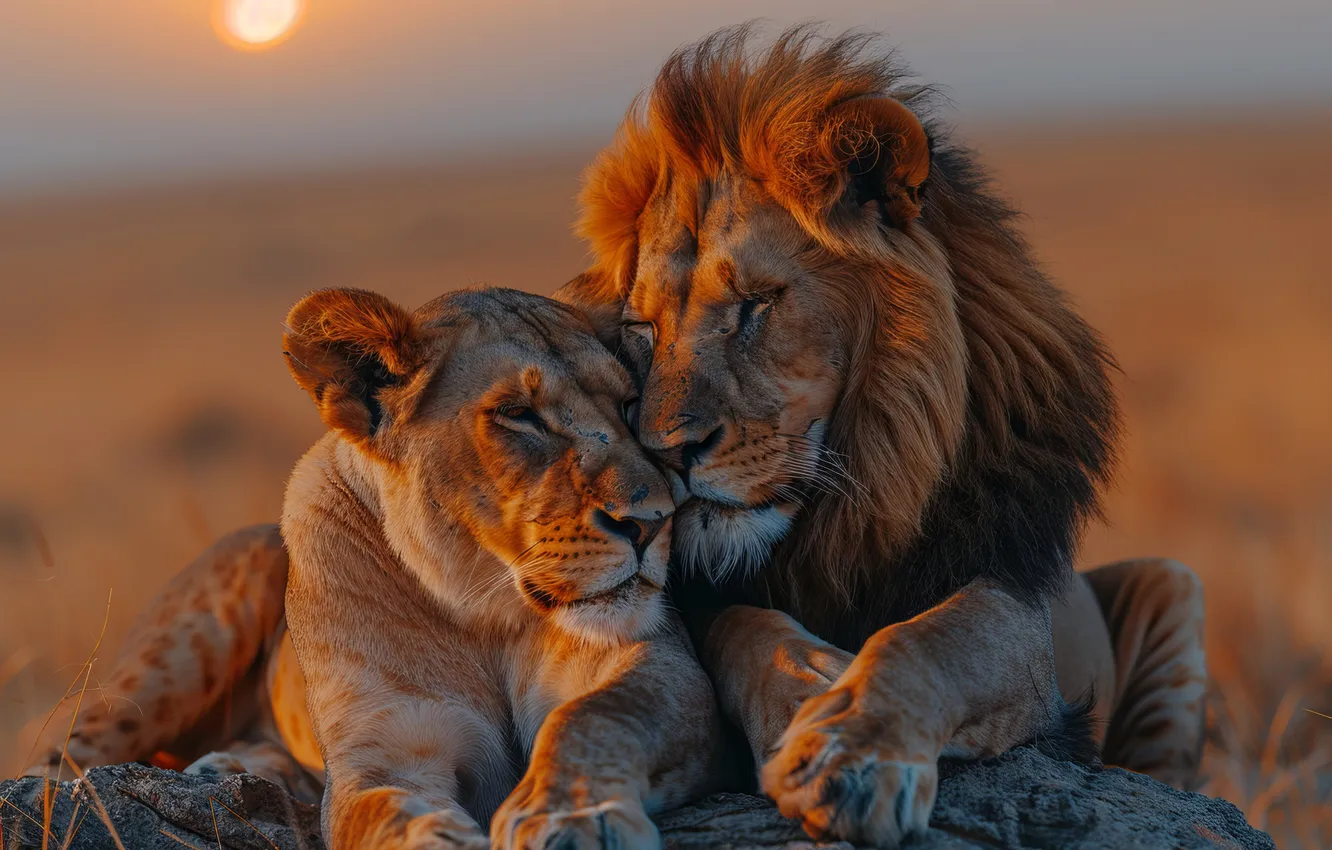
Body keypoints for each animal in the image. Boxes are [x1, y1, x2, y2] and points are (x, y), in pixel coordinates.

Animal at [28, 287, 725, 849]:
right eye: (518, 415)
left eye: (630, 403)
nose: (654, 519)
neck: (481, 607)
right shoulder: (383, 752)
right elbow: (387, 811)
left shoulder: (657, 667)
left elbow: (592, 718)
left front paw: (576, 816)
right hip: (186, 644)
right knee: (59, 756)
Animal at [555, 24, 1208, 845]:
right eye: (642, 328)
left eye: (757, 303)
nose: (668, 451)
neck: (840, 516)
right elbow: (738, 623)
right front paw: (808, 690)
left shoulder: (1014, 598)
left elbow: (933, 640)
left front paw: (850, 752)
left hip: (1173, 586)